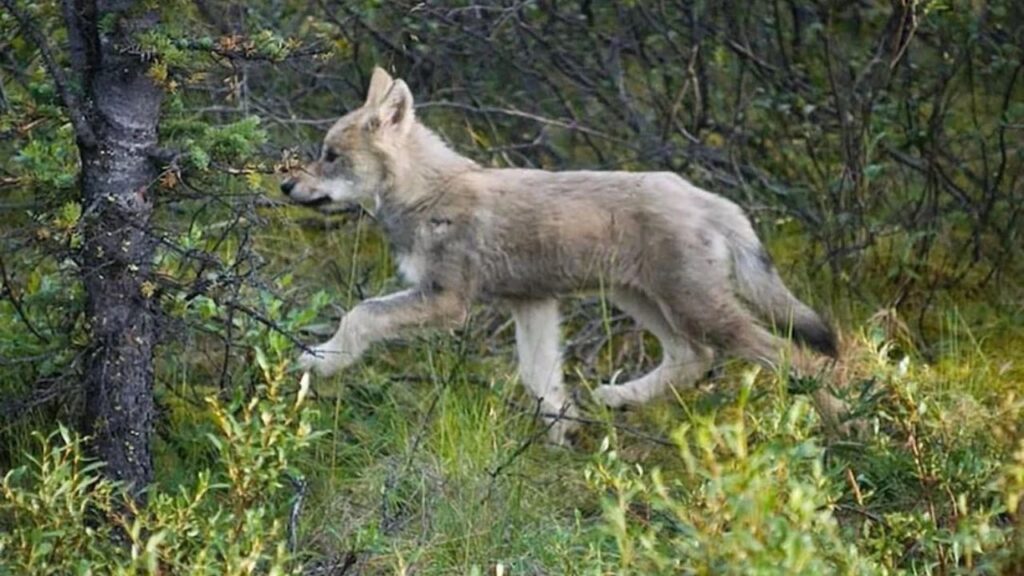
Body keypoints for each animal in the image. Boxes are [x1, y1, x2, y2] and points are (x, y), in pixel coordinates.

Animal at [281, 67, 849, 445]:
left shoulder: (447, 301)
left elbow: (359, 316)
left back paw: (845, 424)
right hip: (641, 301)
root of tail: (707, 197)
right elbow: (543, 386)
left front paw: (323, 358)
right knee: (693, 358)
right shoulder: (532, 304)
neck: (427, 196)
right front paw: (562, 445)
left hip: (698, 310)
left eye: (330, 156)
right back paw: (618, 397)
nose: (285, 185)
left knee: (793, 358)